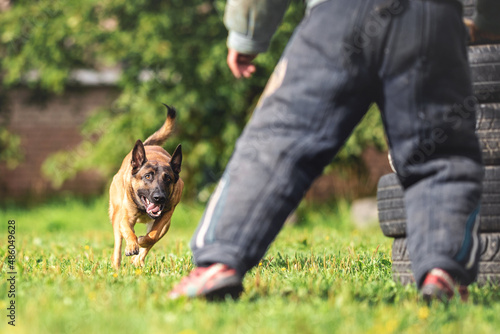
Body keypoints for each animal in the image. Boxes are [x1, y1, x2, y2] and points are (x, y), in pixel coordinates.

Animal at [108, 105, 183, 268]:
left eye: (168, 179)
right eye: (148, 176)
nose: (159, 198)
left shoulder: (164, 217)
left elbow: (152, 236)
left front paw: (141, 241)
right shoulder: (126, 217)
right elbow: (128, 231)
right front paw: (132, 245)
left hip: (166, 226)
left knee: (151, 241)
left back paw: (138, 261)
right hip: (116, 215)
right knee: (117, 244)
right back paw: (117, 265)